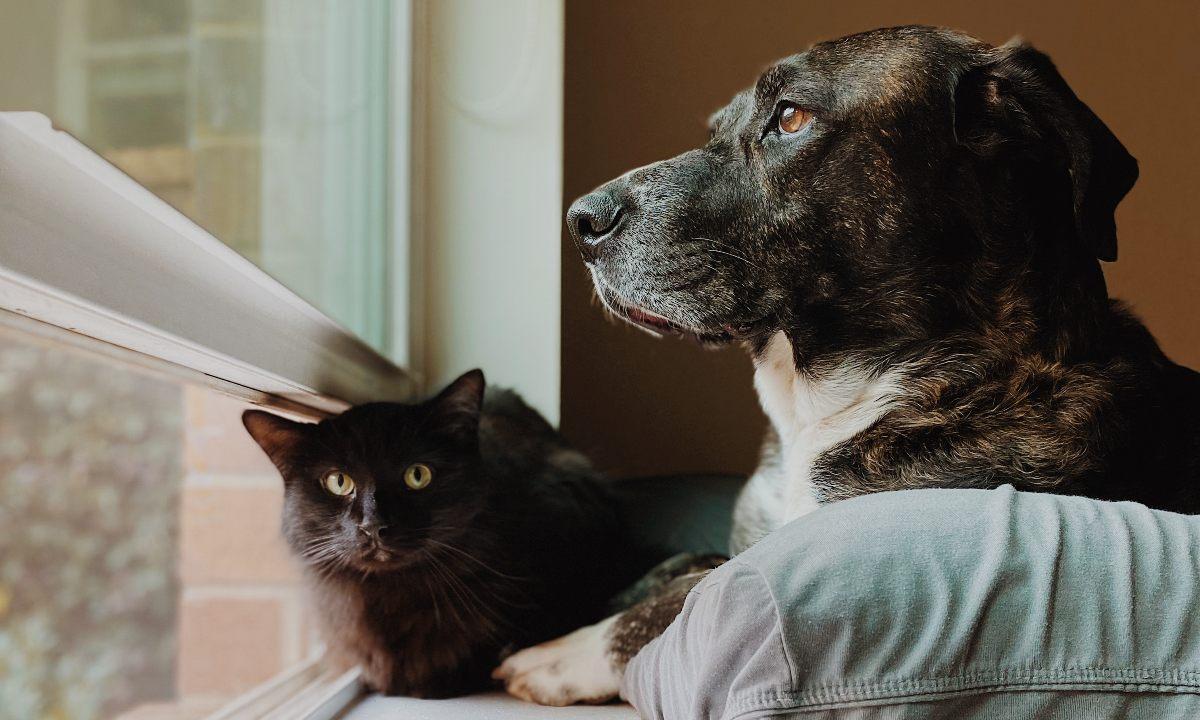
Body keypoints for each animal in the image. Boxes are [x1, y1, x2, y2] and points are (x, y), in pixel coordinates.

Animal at [489, 25, 1200, 705]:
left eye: (792, 118)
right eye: (716, 129)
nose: (580, 221)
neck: (825, 405)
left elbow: (692, 589)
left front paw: (566, 652)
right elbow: (682, 562)